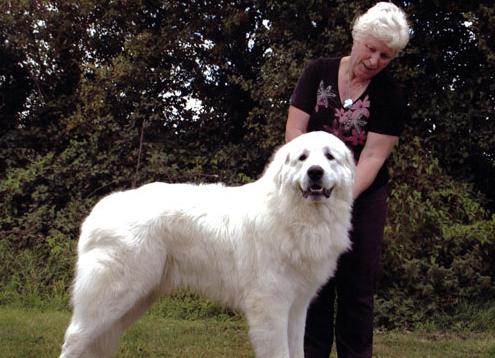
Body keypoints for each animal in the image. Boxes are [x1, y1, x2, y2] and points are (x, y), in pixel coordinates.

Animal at [60, 131, 354, 358]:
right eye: (302, 158)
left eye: (330, 157)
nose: (315, 172)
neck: (296, 215)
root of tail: (99, 209)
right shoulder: (271, 305)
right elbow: (279, 352)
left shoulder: (297, 305)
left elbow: (296, 350)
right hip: (111, 294)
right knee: (74, 338)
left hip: (136, 299)